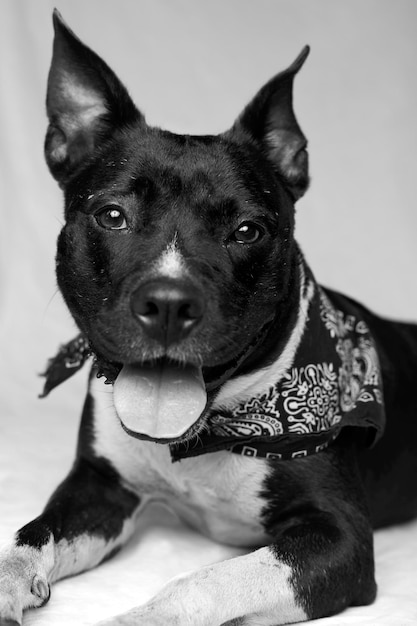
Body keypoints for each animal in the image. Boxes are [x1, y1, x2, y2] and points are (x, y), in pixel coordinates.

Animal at [0, 9, 416, 624]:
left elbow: (201, 583)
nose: (169, 304)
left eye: (247, 231)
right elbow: (31, 533)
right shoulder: (99, 487)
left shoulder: (338, 538)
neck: (201, 435)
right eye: (112, 215)